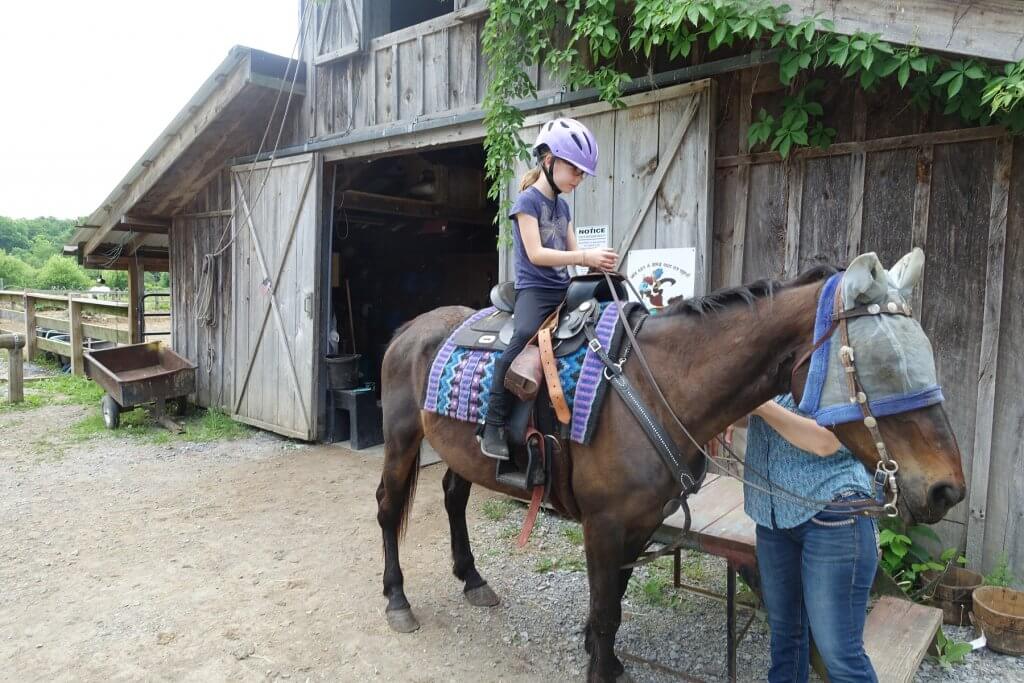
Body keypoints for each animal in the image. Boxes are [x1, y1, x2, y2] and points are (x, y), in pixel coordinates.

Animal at [378, 258, 966, 683]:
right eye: (884, 365)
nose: (947, 490)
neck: (653, 383)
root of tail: (411, 327)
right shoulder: (604, 526)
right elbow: (607, 611)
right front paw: (601, 669)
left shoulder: (638, 524)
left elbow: (613, 600)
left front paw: (609, 660)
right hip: (403, 439)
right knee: (388, 510)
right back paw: (397, 600)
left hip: (457, 451)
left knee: (453, 497)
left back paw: (472, 578)